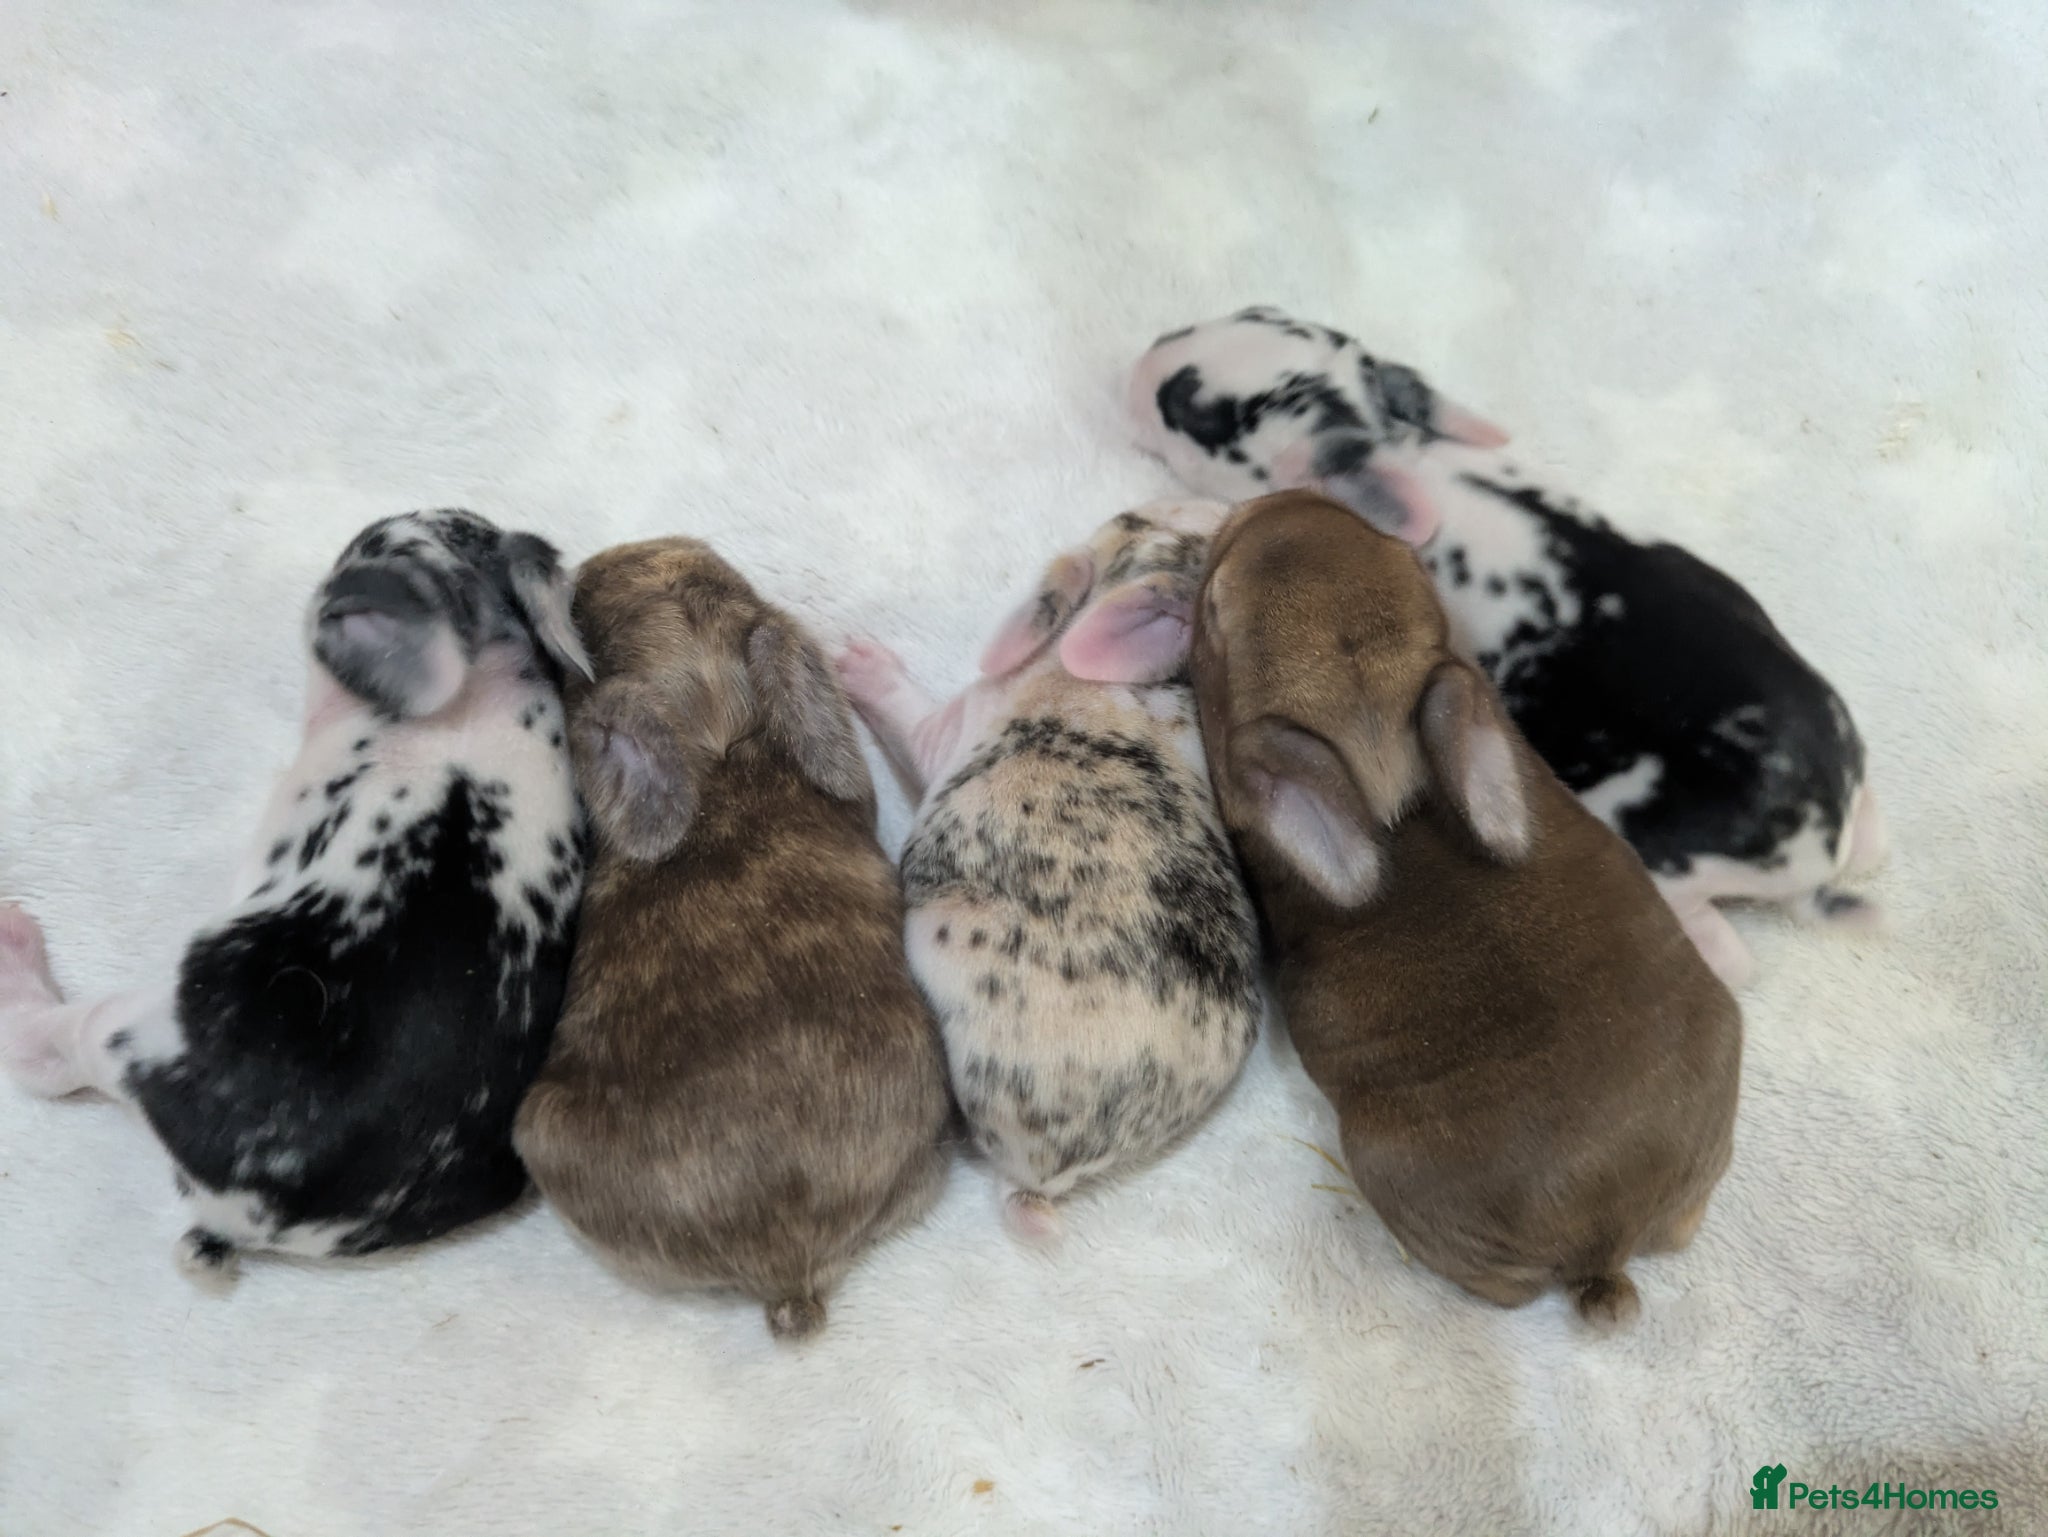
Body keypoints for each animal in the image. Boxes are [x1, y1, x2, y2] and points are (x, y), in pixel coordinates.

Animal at [833, 499, 1261, 1239]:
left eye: (1130, 519)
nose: (1230, 506)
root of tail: (1048, 1179)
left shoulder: (949, 727)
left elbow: (911, 717)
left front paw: (853, 655)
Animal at [1128, 304, 1886, 988]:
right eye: (1252, 313)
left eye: (1195, 411)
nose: (1142, 364)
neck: (1400, 450)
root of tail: (1820, 852)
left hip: (1660, 855)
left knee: (1735, 957)